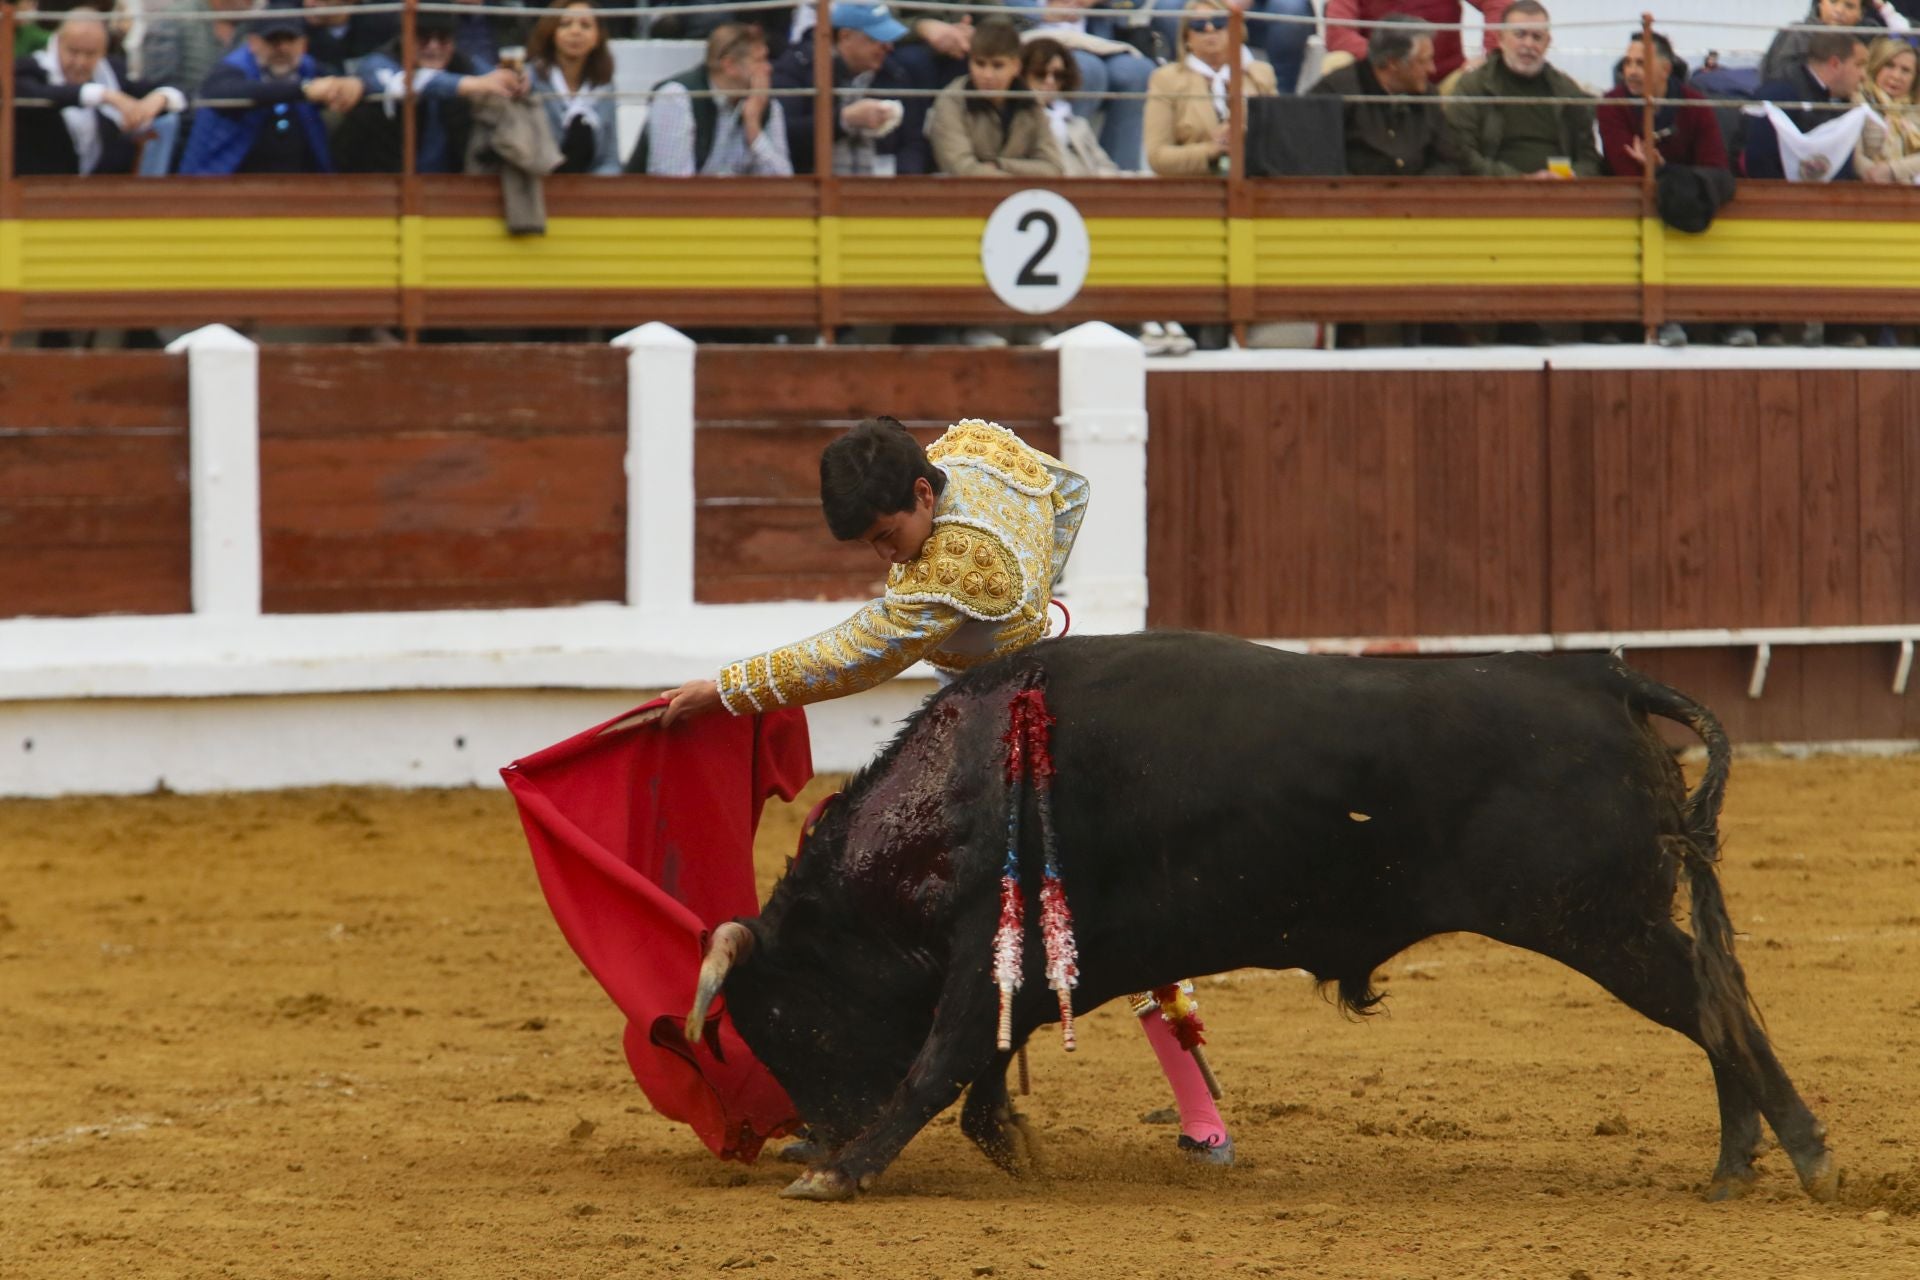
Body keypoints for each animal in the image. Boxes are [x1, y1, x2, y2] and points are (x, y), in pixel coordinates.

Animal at [687, 637, 1827, 1205]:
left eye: (779, 1018)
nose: (812, 1132)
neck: (959, 788)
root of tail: (1604, 674)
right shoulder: (1024, 964)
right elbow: (979, 1066)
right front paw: (1009, 1149)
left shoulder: (984, 956)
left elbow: (941, 1059)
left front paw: (843, 1171)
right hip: (1618, 921)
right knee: (1718, 1001)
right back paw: (1737, 1163)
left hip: (1600, 921)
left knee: (1714, 1005)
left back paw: (1806, 1156)